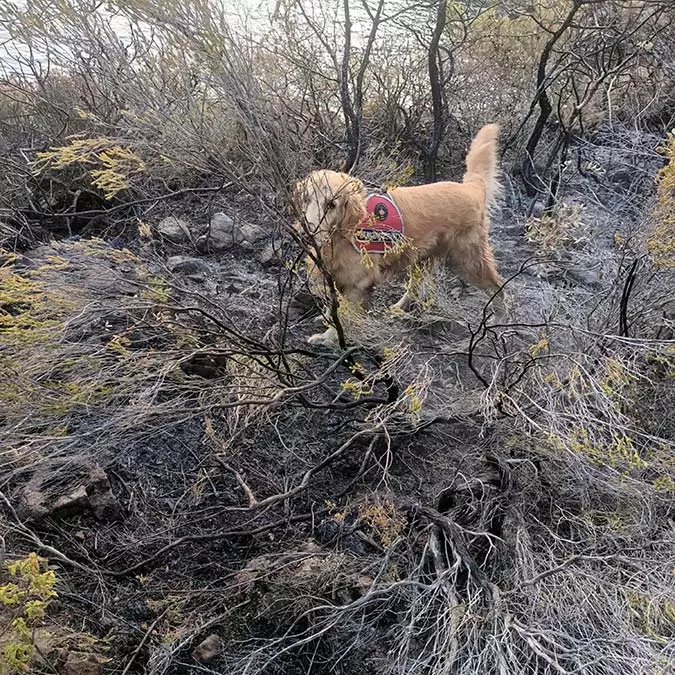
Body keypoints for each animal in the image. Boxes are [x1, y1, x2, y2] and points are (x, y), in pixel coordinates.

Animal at [294, 123, 504, 344]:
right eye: (307, 199)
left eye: (331, 205)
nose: (306, 234)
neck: (344, 232)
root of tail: (471, 188)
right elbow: (334, 305)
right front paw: (326, 317)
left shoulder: (357, 282)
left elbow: (343, 315)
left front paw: (328, 336)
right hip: (423, 258)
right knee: (414, 287)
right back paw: (398, 307)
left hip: (469, 261)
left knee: (498, 289)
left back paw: (499, 319)